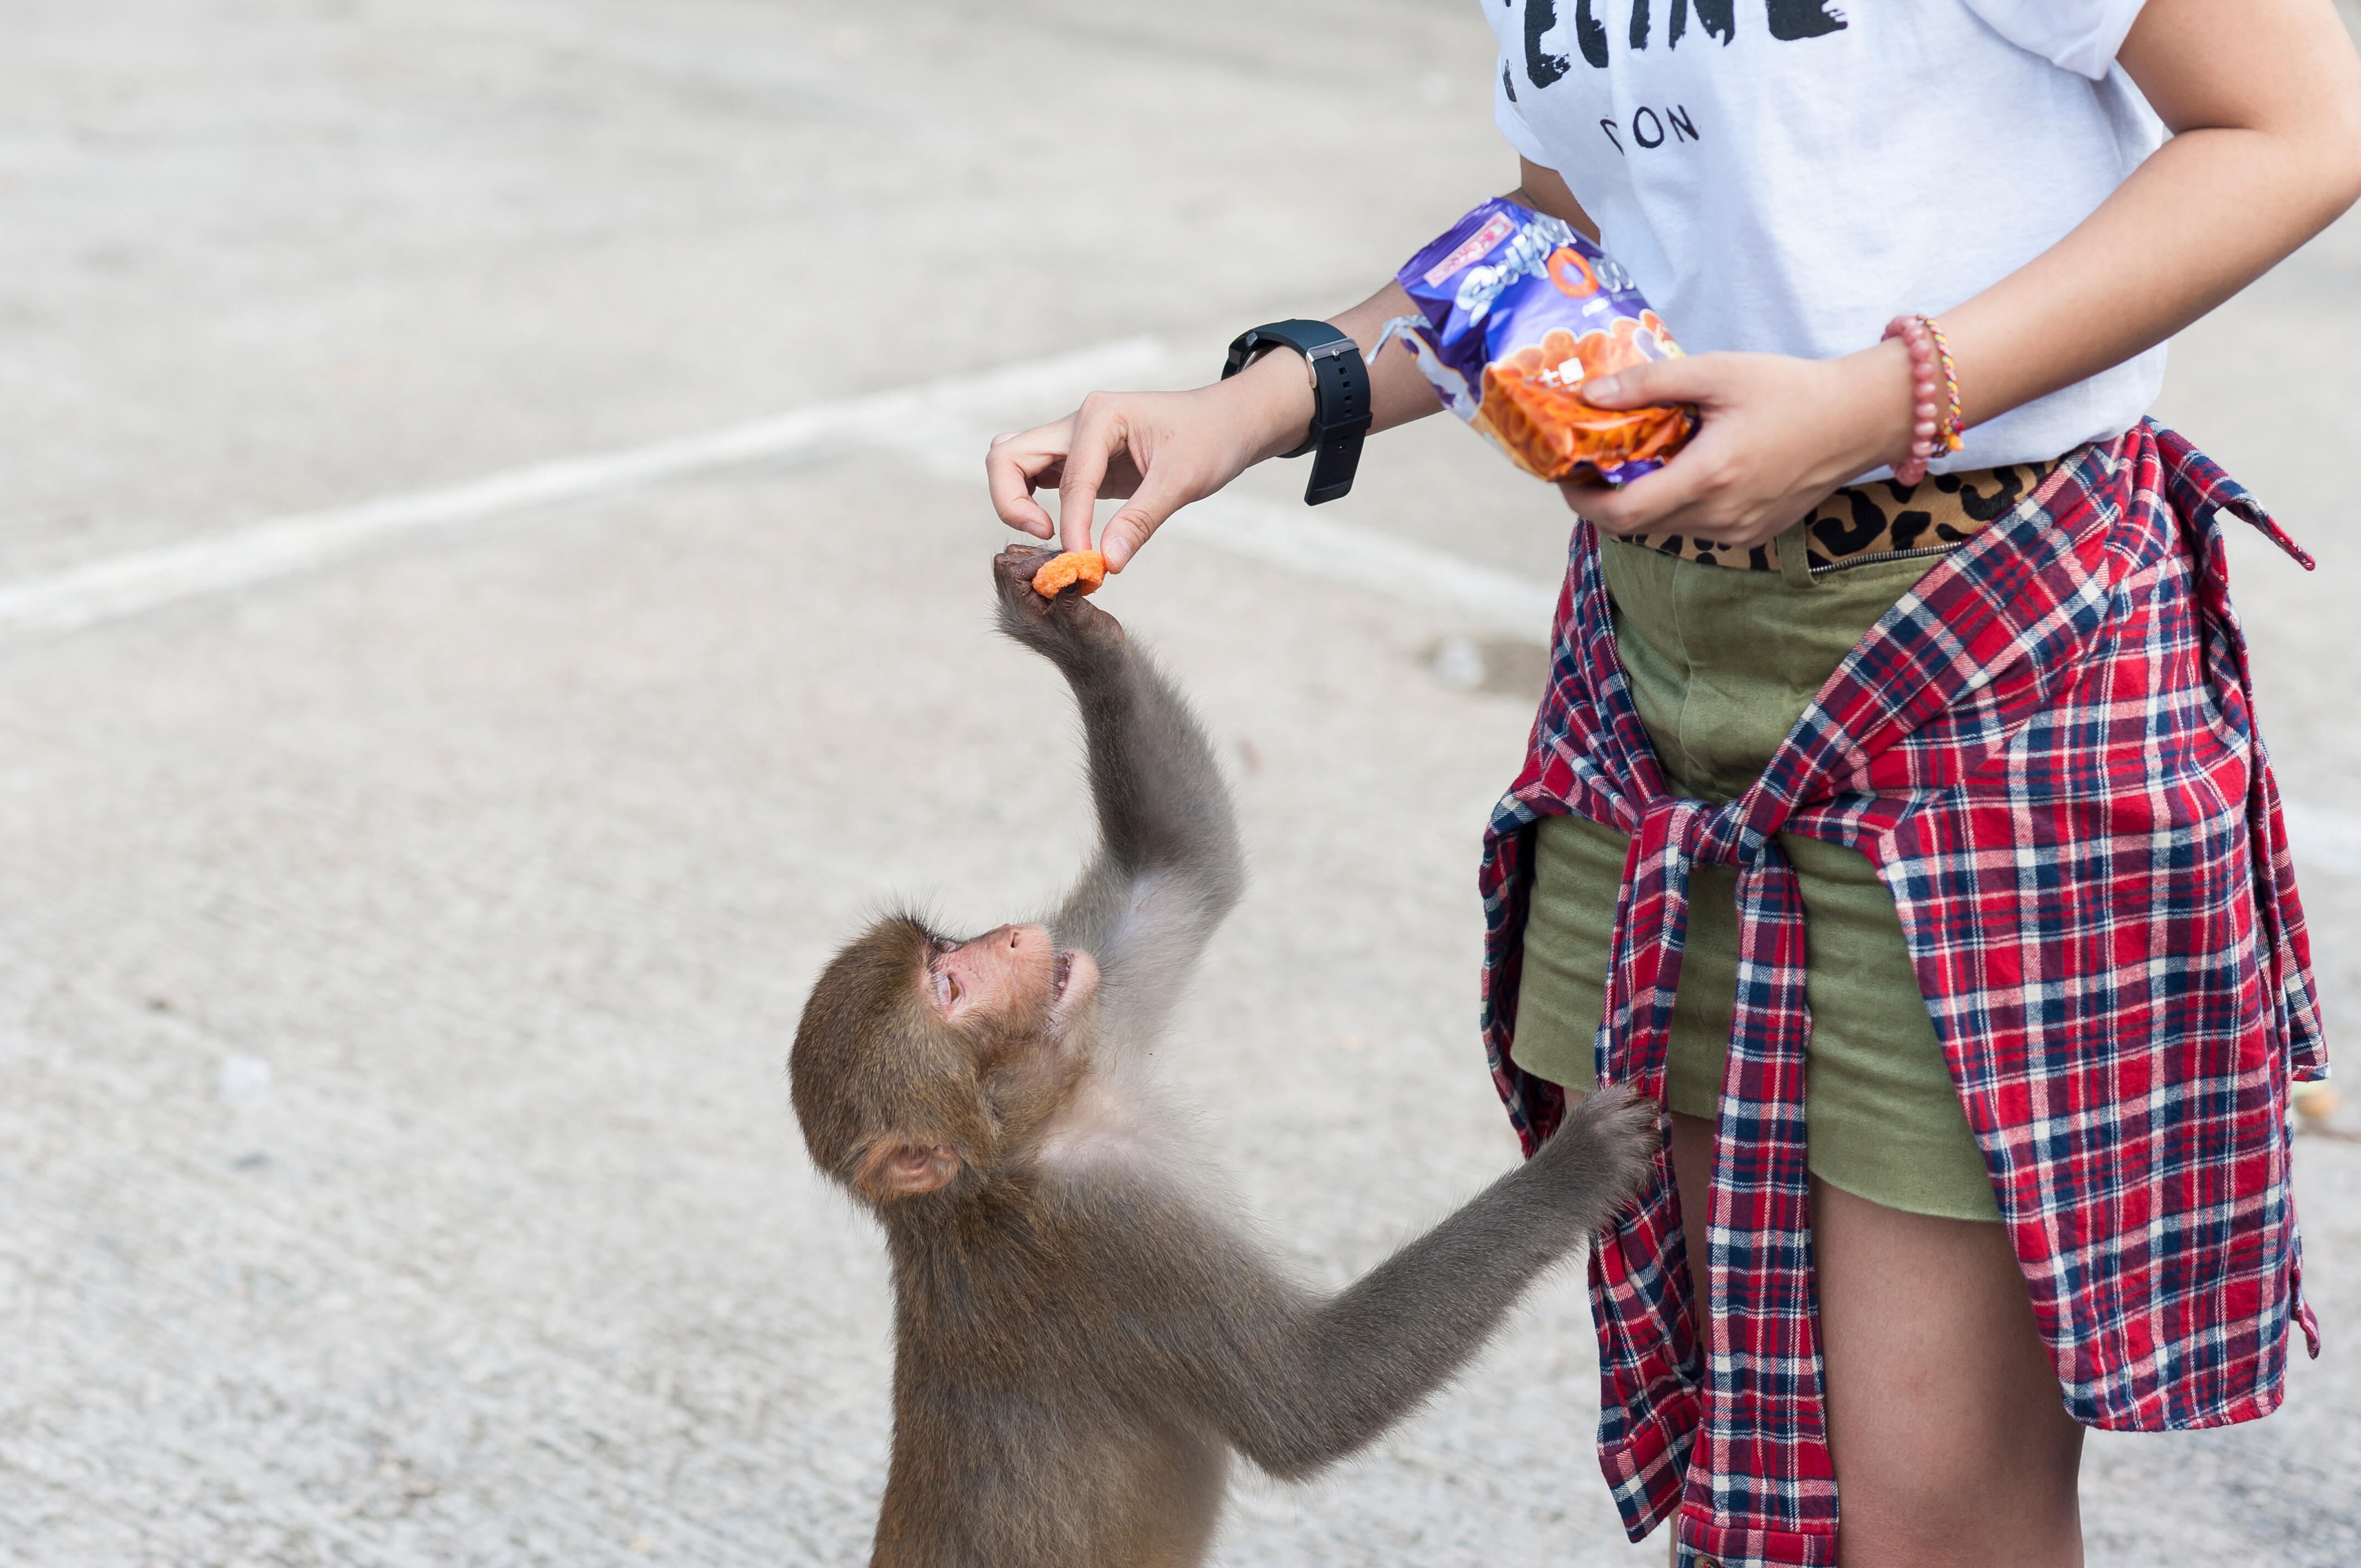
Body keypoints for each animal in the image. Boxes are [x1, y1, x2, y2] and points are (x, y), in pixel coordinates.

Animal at [784, 545, 1652, 1558]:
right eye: (949, 991)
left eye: (940, 952)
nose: (1011, 936)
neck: (1030, 1138)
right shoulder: (1108, 1232)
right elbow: (1306, 1394)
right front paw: (1578, 1164)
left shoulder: (1093, 1007)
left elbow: (1183, 863)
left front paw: (1066, 627)